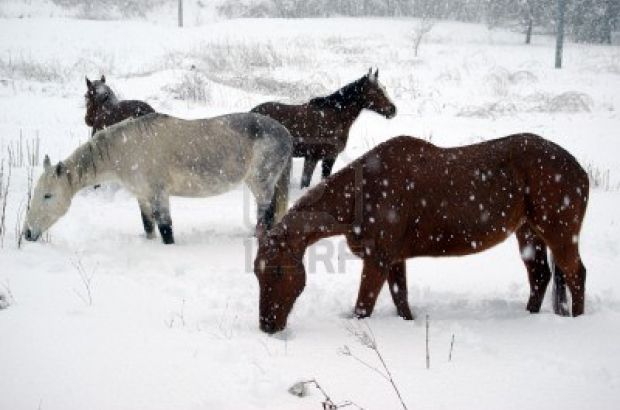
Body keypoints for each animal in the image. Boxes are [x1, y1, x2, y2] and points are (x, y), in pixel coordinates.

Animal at [24, 111, 294, 243]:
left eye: (48, 195)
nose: (27, 234)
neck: (126, 148)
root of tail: (286, 133)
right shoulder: (143, 197)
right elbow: (149, 226)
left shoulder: (159, 194)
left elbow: (166, 229)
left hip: (262, 183)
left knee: (266, 215)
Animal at [252, 68, 398, 187]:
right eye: (375, 91)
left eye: (384, 87)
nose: (393, 110)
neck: (334, 117)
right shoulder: (313, 157)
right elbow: (305, 183)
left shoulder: (329, 157)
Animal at [254, 135, 588, 334]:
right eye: (258, 273)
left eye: (278, 271)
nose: (267, 326)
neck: (362, 195)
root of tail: (578, 168)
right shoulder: (393, 259)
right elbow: (401, 301)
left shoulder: (377, 259)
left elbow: (363, 308)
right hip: (528, 233)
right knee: (540, 275)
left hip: (559, 234)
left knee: (575, 274)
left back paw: (579, 322)